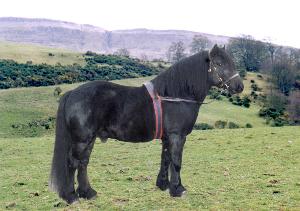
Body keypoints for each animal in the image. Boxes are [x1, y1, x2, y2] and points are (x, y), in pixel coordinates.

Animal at [49, 44, 244, 203]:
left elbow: (166, 159)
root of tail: (72, 93)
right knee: (72, 163)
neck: (174, 95)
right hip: (81, 140)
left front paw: (164, 185)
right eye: (219, 64)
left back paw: (88, 193)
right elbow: (176, 162)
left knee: (83, 163)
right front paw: (178, 189)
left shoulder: (167, 138)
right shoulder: (177, 136)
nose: (239, 86)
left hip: (89, 139)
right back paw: (72, 197)